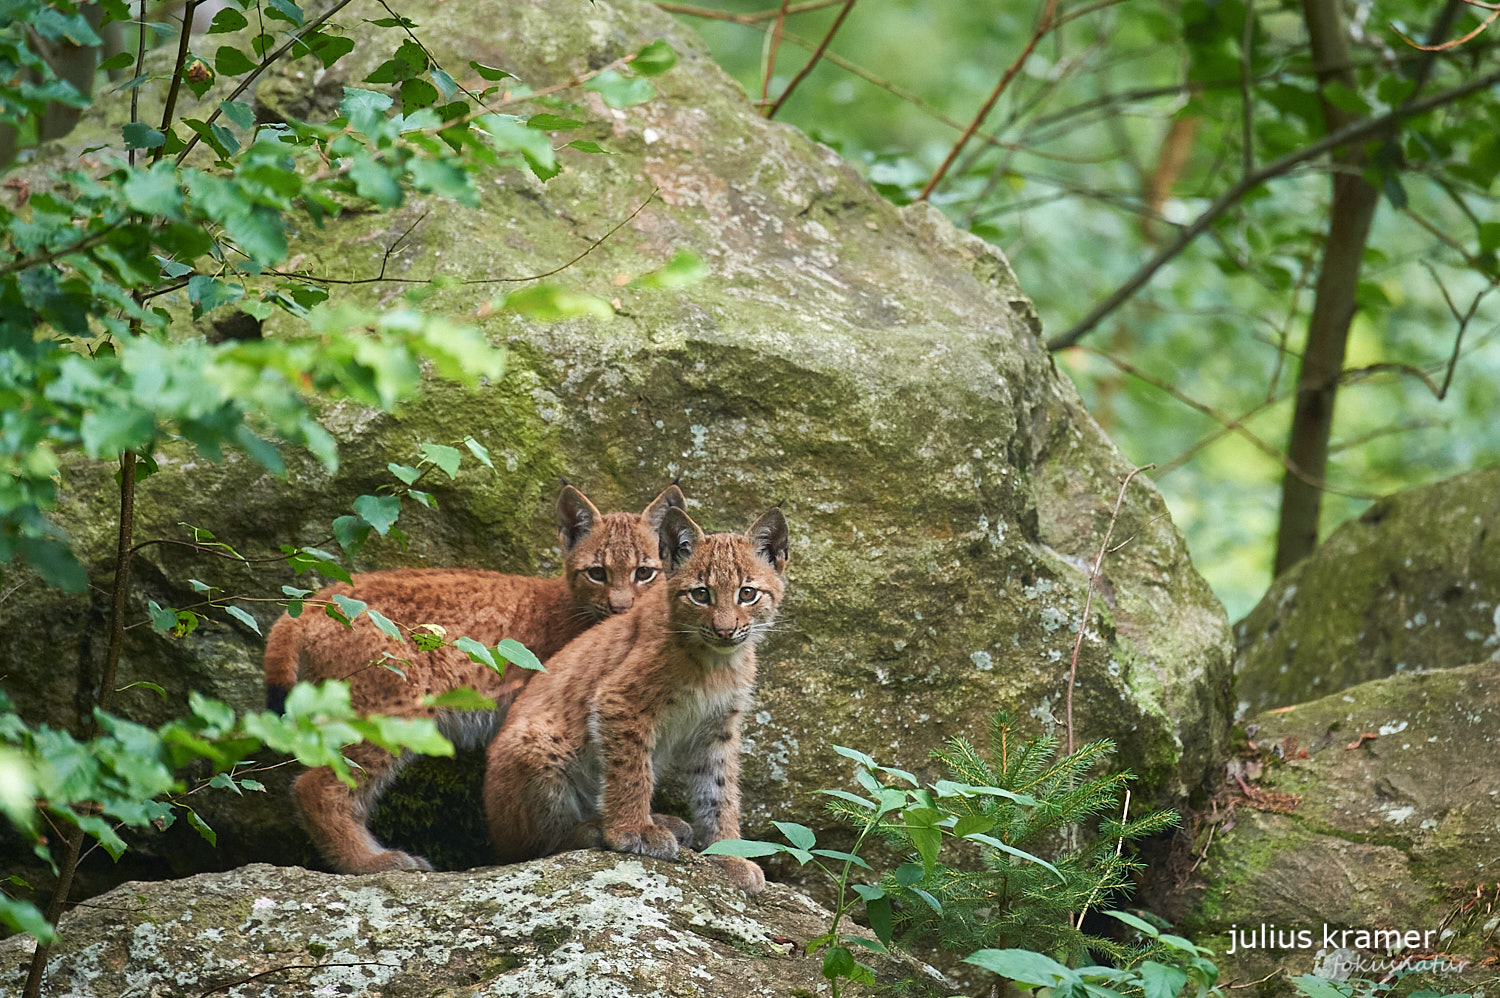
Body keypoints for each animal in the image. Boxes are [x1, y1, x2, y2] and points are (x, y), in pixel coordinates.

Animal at [261, 483, 684, 870]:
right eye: (597, 573)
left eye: (644, 573)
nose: (621, 608)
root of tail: (315, 601)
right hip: (394, 705)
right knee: (317, 786)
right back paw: (369, 862)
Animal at [483, 501, 792, 888]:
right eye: (701, 594)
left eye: (747, 594)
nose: (725, 630)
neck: (718, 661)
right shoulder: (618, 700)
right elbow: (631, 772)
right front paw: (632, 831)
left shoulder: (718, 726)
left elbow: (719, 790)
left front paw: (729, 853)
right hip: (539, 743)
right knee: (526, 851)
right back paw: (595, 829)